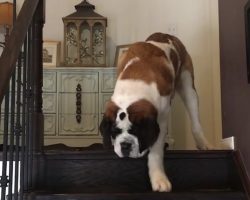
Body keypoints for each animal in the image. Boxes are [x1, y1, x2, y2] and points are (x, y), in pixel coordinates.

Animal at [99, 32, 211, 192]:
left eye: (137, 131)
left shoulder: (162, 119)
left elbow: (156, 151)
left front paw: (159, 178)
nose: (125, 145)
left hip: (188, 86)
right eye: (115, 131)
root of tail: (166, 34)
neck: (136, 80)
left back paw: (203, 143)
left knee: (195, 119)